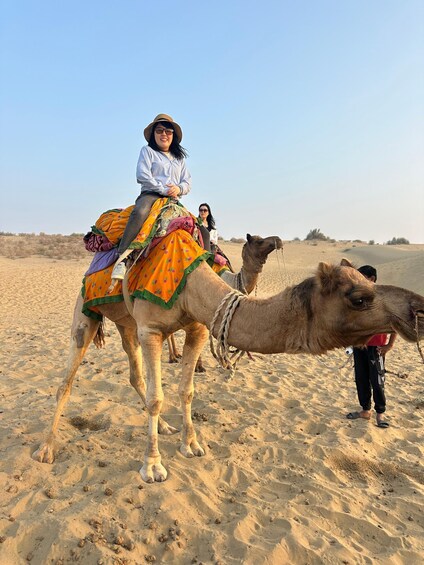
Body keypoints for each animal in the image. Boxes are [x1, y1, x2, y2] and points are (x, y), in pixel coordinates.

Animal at [33, 256, 424, 484]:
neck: (191, 285)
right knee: (67, 380)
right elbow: (159, 397)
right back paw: (46, 449)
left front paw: (191, 443)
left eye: (369, 282)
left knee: (134, 374)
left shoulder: (198, 326)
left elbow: (185, 390)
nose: (417, 309)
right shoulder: (151, 330)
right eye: (359, 298)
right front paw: (153, 465)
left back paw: (165, 427)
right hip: (87, 309)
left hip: (125, 323)